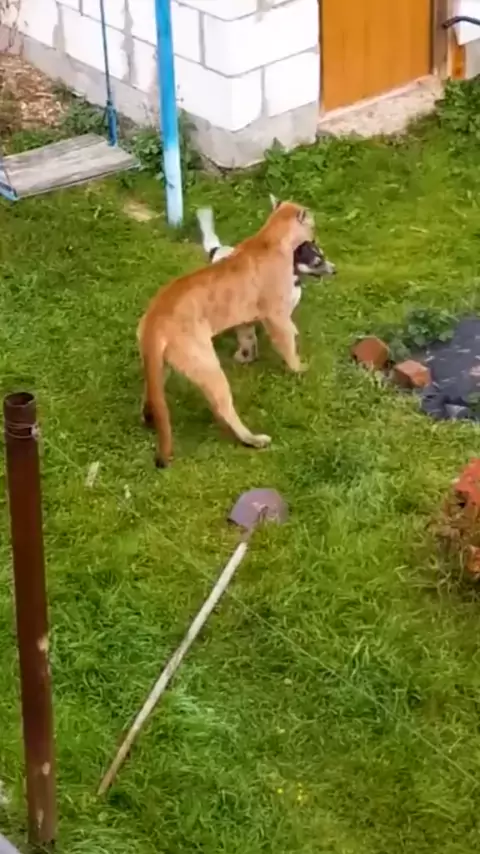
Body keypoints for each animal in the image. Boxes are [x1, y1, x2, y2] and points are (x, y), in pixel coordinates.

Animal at [138, 201, 316, 467]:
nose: (316, 235)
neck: (268, 237)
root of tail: (154, 317)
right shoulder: (276, 315)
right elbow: (287, 343)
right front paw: (299, 369)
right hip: (207, 366)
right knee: (224, 408)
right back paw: (254, 440)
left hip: (160, 366)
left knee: (151, 393)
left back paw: (148, 417)